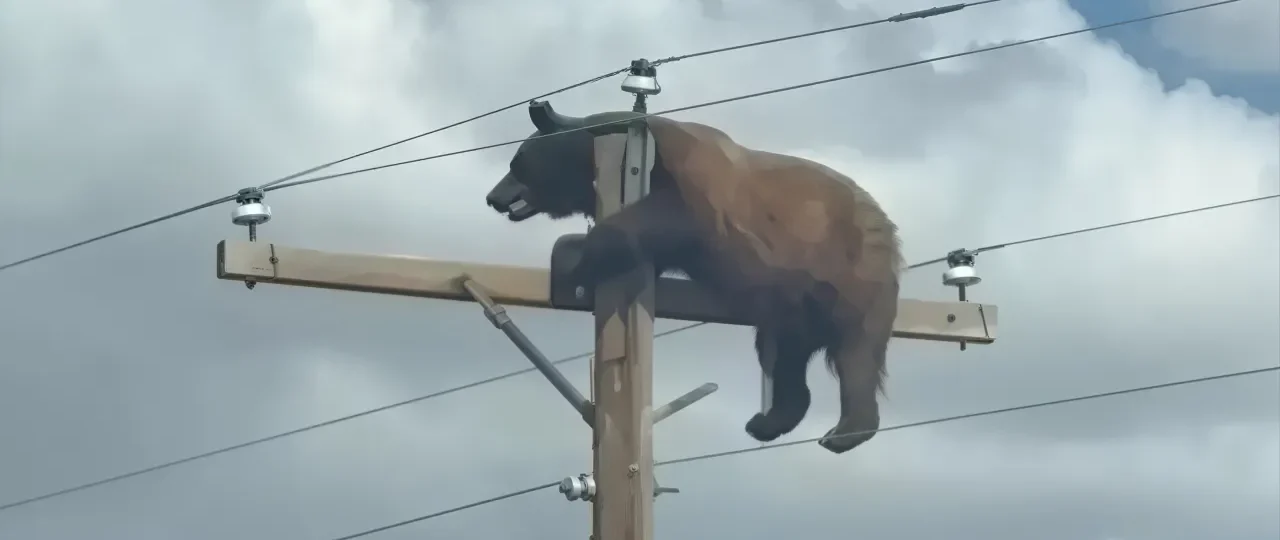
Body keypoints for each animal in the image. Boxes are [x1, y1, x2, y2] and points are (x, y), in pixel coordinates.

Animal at [484, 101, 904, 454]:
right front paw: (575, 251)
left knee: (856, 350)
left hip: (849, 270)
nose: (492, 197)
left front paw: (583, 257)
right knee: (784, 356)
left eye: (517, 161)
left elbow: (666, 217)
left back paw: (844, 432)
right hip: (791, 305)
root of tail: (884, 223)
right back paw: (767, 421)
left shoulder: (689, 181)